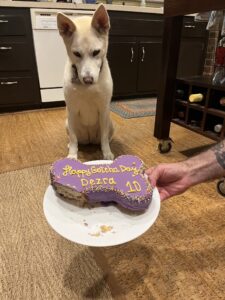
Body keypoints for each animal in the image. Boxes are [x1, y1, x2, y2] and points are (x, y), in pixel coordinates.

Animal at [57, 4, 114, 159]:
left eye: (96, 52)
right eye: (76, 53)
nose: (88, 80)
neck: (88, 89)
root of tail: (89, 140)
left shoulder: (104, 110)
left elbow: (104, 137)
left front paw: (106, 153)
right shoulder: (71, 110)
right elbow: (73, 138)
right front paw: (72, 155)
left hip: (110, 123)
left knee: (105, 137)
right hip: (67, 123)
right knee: (75, 139)